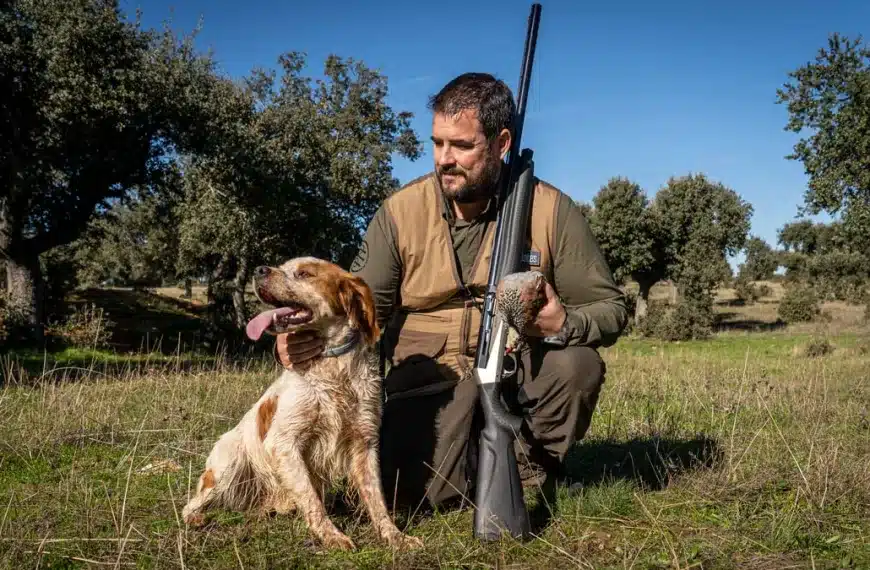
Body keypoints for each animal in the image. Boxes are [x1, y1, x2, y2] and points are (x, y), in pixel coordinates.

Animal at [181, 255, 422, 548]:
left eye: (304, 273)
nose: (259, 270)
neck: (333, 368)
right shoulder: (285, 443)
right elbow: (312, 499)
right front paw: (332, 536)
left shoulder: (364, 442)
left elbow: (376, 499)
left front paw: (395, 536)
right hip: (226, 468)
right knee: (191, 503)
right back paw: (195, 518)